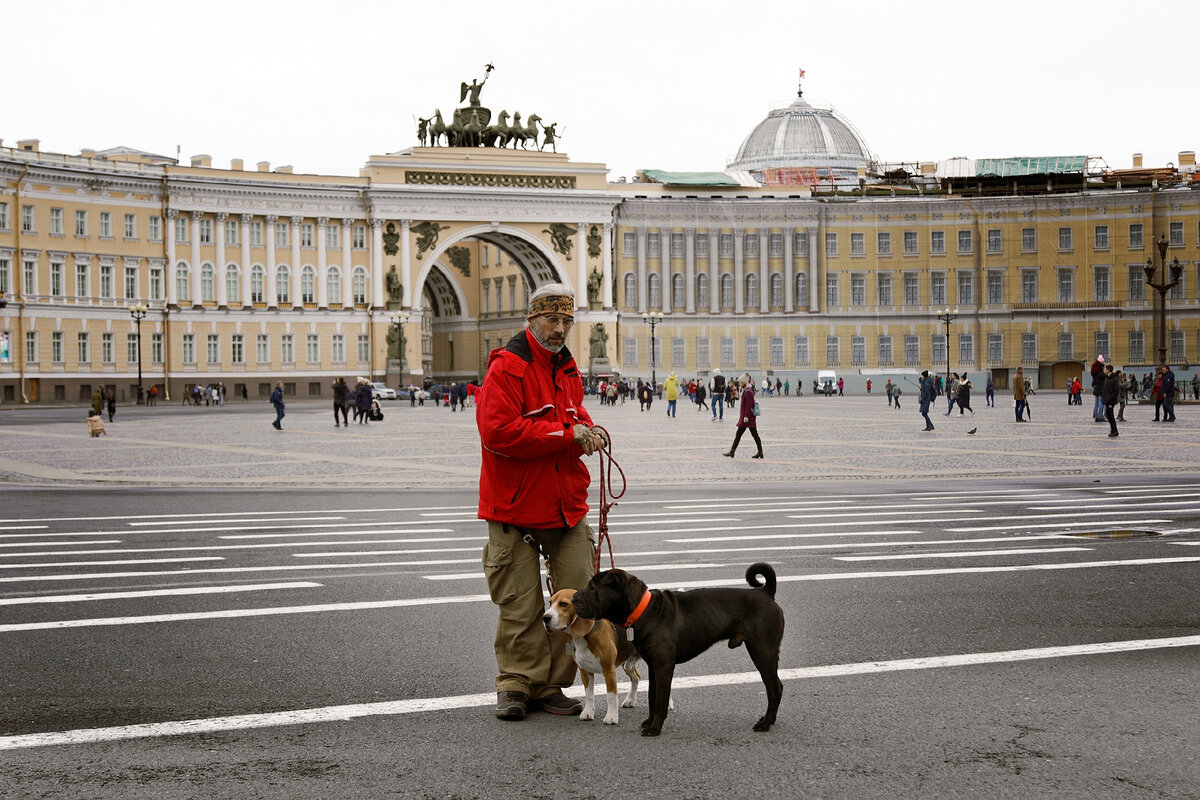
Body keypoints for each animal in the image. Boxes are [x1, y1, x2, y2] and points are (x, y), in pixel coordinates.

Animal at [571, 561, 787, 734]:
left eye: (593, 588)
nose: (574, 599)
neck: (644, 611)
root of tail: (765, 592)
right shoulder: (653, 666)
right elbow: (652, 697)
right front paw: (649, 722)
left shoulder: (663, 666)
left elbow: (661, 699)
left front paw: (655, 728)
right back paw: (769, 720)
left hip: (762, 651)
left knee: (774, 688)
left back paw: (765, 724)